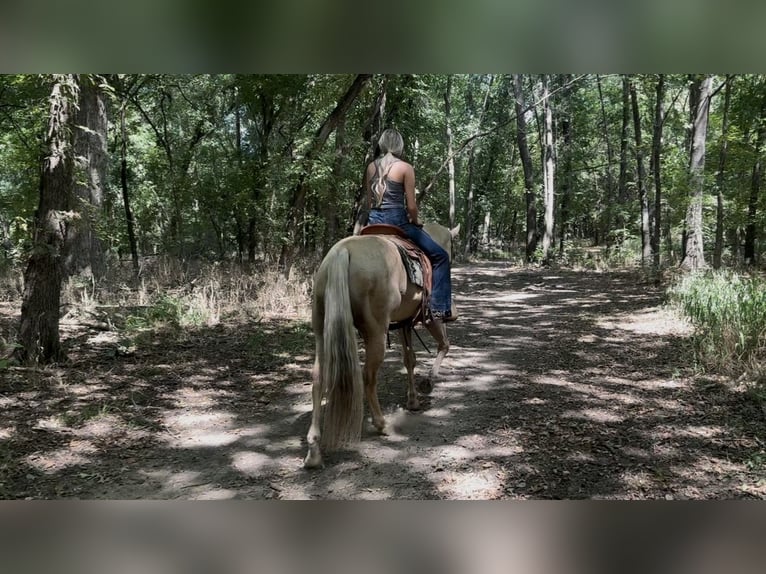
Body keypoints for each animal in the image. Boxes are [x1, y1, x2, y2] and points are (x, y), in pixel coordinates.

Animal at [303, 222, 460, 469]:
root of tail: (342, 252)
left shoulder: (404, 322)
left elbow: (409, 359)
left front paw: (413, 399)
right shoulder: (429, 317)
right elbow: (444, 345)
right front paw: (427, 383)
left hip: (321, 329)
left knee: (319, 378)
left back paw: (313, 451)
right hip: (376, 332)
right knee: (368, 376)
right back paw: (382, 424)